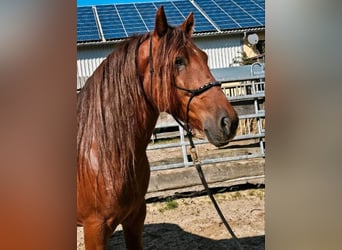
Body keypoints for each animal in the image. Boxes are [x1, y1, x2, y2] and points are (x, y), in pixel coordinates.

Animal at [77, 6, 238, 250]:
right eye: (178, 61)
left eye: (205, 57)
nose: (229, 122)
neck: (105, 152)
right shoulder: (95, 229)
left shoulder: (135, 219)